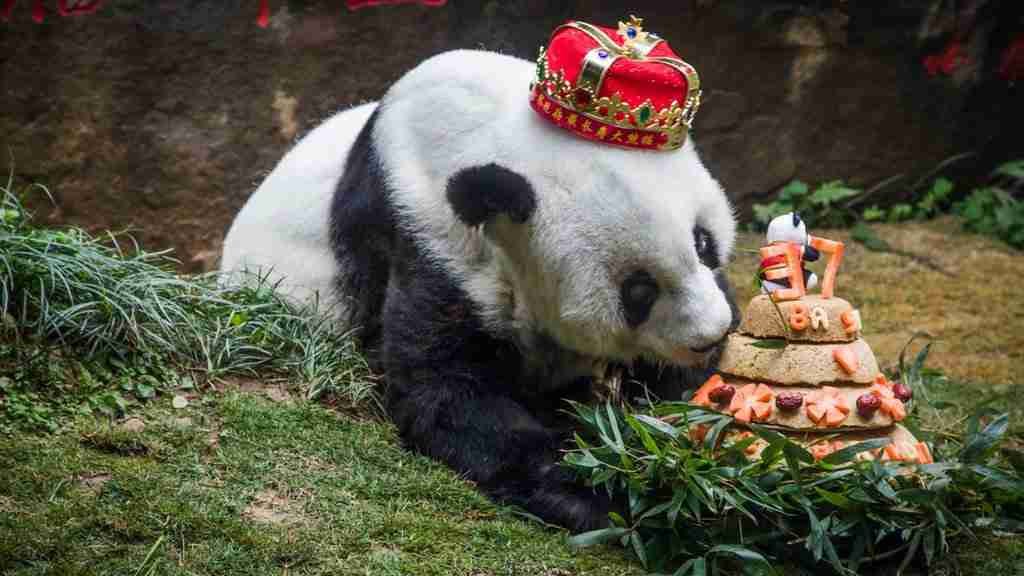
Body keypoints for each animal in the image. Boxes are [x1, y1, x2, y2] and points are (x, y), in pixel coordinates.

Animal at [220, 48, 741, 528]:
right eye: (638, 290)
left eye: (703, 241)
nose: (711, 335)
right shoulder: (430, 235)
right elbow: (447, 388)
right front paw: (612, 487)